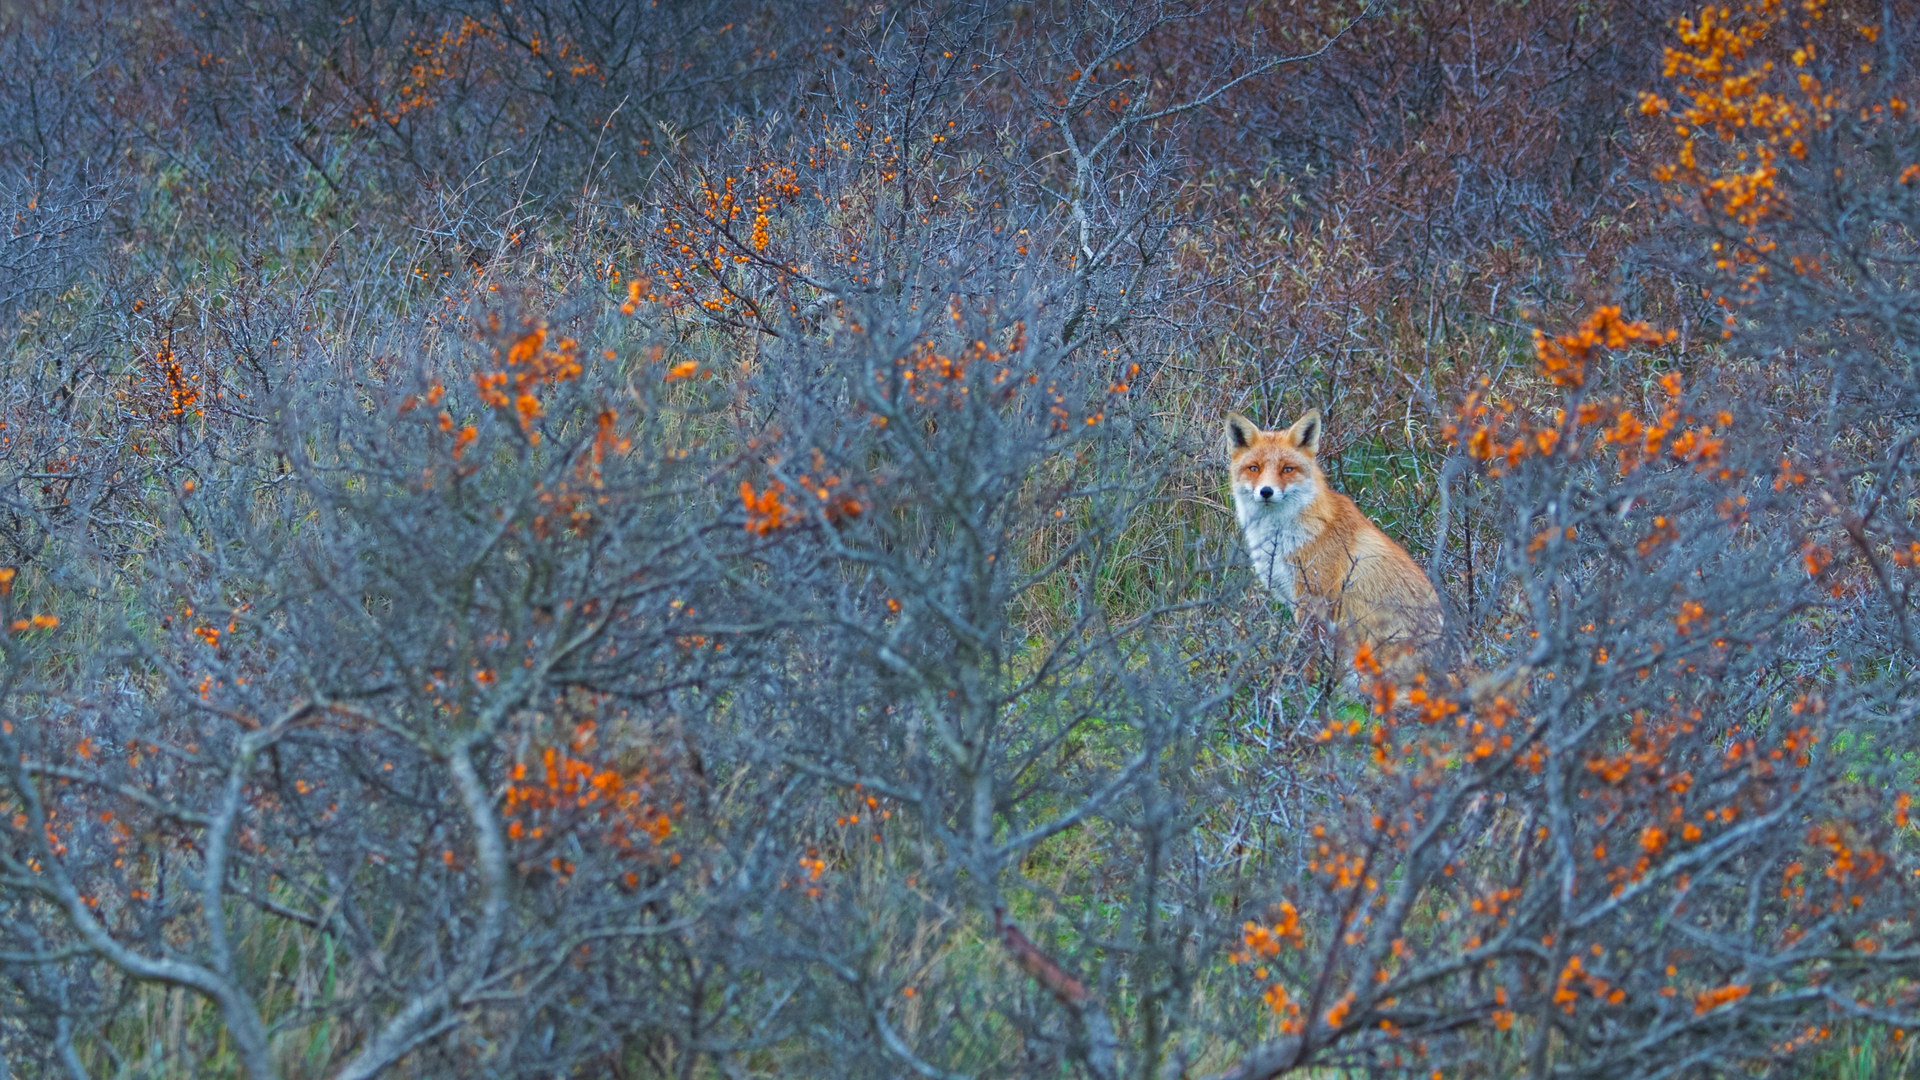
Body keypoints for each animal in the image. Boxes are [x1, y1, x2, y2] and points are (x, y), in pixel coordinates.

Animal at [1226, 409, 1444, 683]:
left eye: (1287, 469)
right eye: (1254, 468)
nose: (1266, 491)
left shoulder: (1313, 598)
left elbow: (1307, 656)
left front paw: (1302, 687)